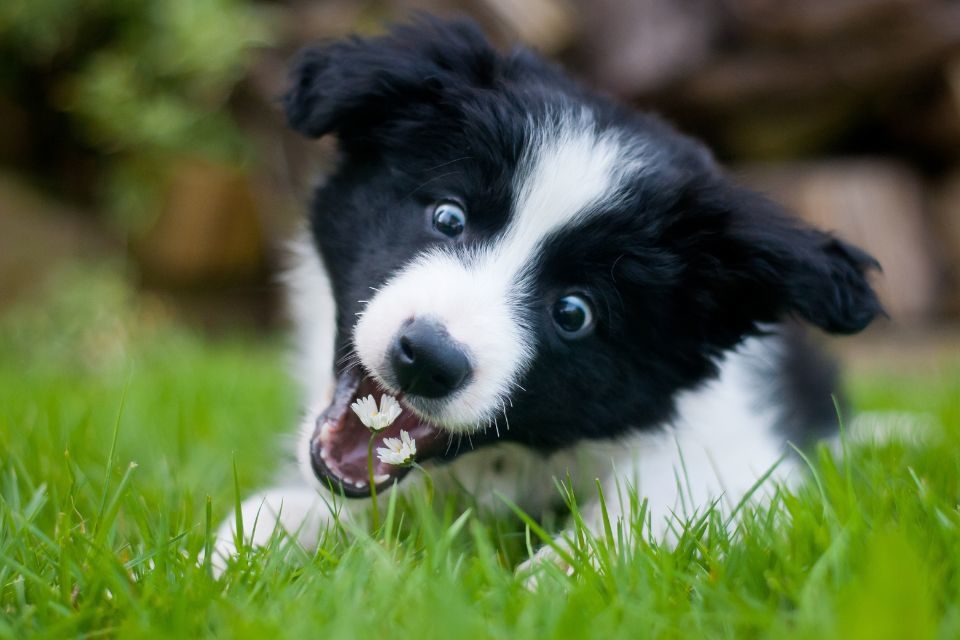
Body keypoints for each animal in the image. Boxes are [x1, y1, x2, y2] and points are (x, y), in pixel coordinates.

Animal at [214, 17, 880, 572]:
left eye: (573, 313)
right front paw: (231, 553)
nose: (428, 357)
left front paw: (540, 587)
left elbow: (642, 519)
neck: (514, 459)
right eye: (448, 217)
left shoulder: (743, 463)